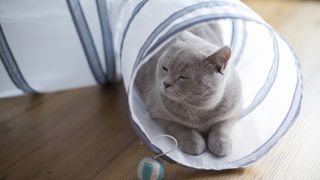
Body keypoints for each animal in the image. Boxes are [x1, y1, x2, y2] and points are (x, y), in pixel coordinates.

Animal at [135, 23, 242, 156]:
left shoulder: (234, 111)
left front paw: (221, 144)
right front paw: (194, 143)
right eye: (165, 68)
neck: (201, 110)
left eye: (183, 77)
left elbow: (222, 126)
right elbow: (182, 127)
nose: (165, 83)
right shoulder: (159, 112)